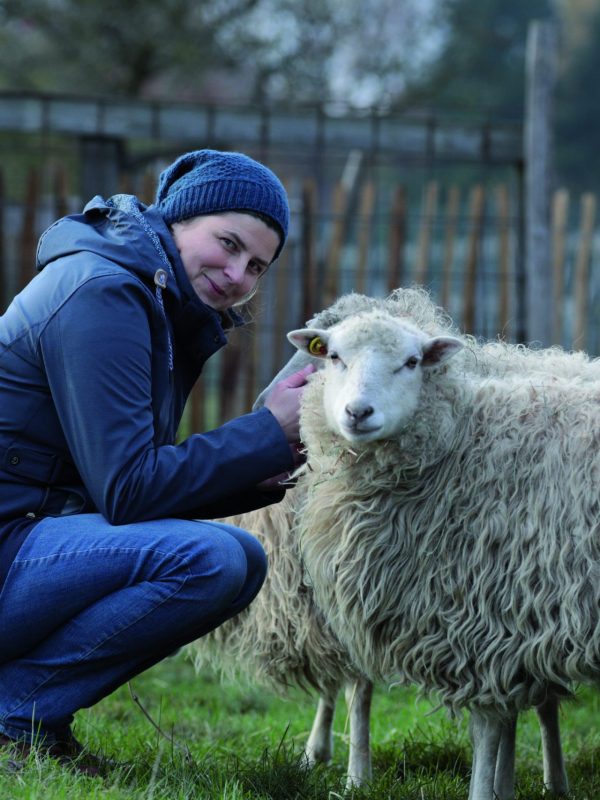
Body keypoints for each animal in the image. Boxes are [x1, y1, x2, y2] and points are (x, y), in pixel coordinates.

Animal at [285, 306, 600, 800]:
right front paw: (503, 788)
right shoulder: (514, 619)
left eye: (412, 362)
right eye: (333, 355)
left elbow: (487, 727)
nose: (358, 412)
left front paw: (485, 790)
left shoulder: (488, 618)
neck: (461, 441)